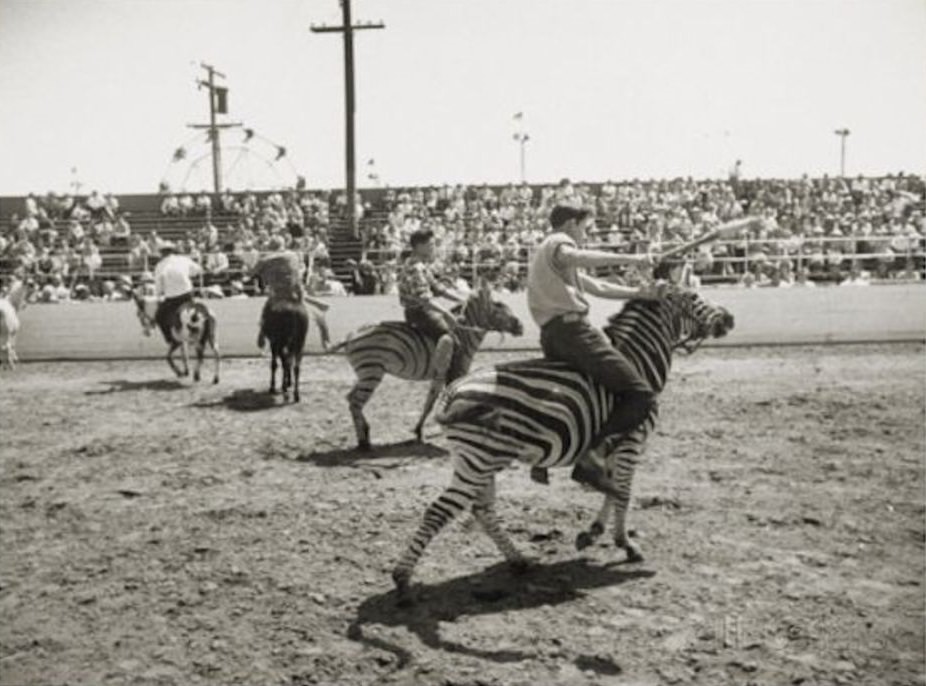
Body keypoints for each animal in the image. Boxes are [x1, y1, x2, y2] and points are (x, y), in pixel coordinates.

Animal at [332, 280, 520, 452]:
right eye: (498, 307)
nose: (521, 326)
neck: (463, 333)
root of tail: (350, 336)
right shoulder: (455, 370)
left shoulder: (440, 374)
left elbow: (429, 402)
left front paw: (418, 431)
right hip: (372, 373)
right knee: (356, 402)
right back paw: (364, 441)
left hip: (366, 374)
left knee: (350, 398)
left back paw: (365, 435)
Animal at [390, 288, 732, 604]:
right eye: (694, 297)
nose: (730, 318)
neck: (637, 363)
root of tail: (452, 391)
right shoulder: (632, 440)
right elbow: (623, 492)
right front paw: (626, 543)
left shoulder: (611, 446)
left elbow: (611, 490)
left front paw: (593, 532)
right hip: (479, 460)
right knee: (440, 511)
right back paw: (403, 580)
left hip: (480, 459)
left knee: (482, 509)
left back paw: (518, 561)